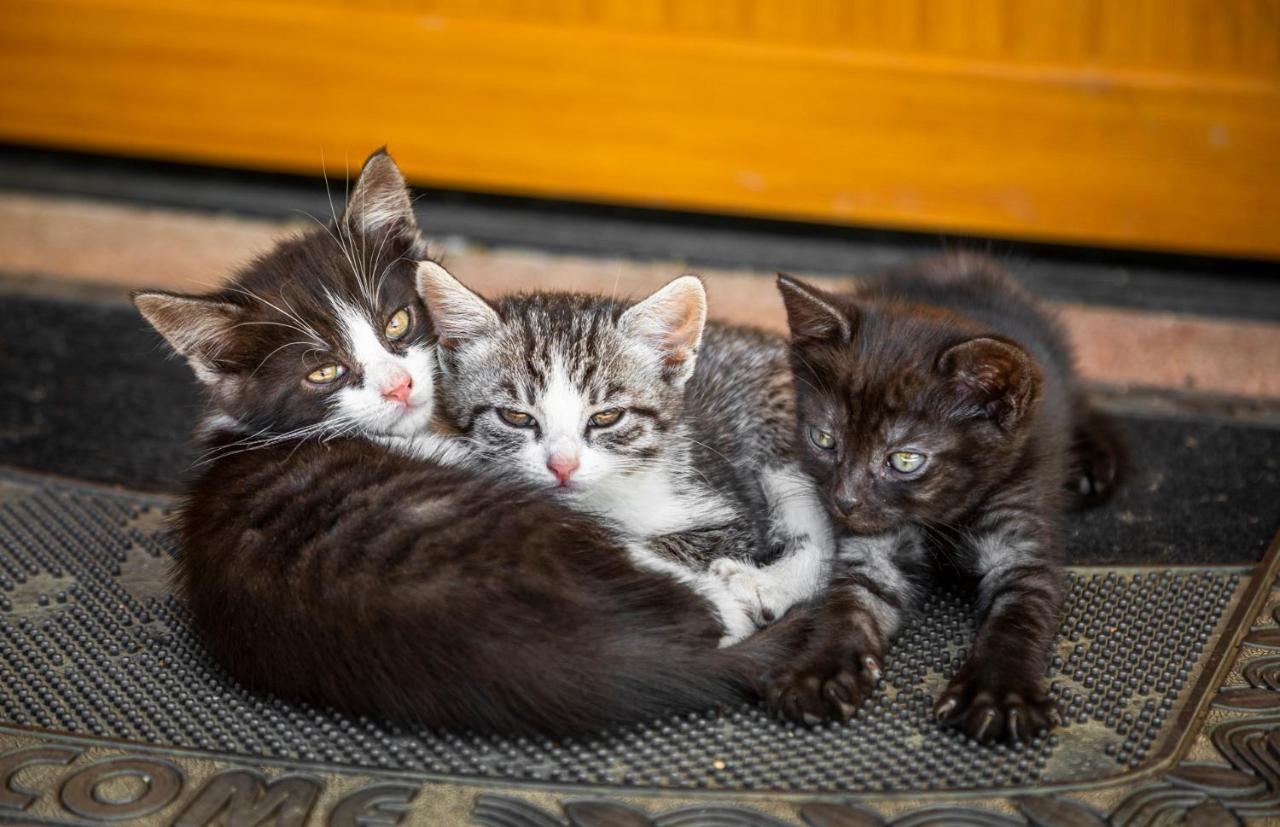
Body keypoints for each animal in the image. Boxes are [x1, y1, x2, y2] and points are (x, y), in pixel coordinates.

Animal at [768, 254, 1121, 747]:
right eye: (824, 439)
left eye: (904, 459)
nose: (844, 500)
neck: (944, 516)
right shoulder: (872, 552)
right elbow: (847, 606)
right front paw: (818, 673)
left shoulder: (1022, 536)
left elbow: (1018, 617)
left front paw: (999, 693)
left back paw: (1095, 459)